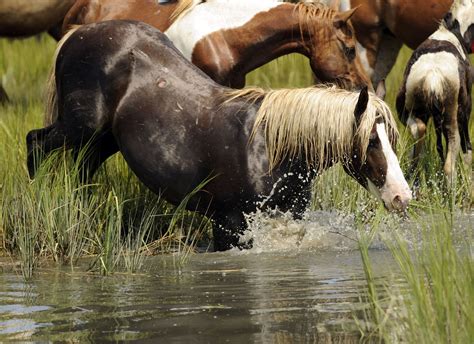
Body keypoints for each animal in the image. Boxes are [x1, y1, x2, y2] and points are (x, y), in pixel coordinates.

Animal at [25, 21, 412, 251]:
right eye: (372, 141)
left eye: (391, 139)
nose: (402, 196)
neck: (269, 149)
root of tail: (79, 33)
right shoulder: (229, 226)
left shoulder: (288, 221)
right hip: (78, 128)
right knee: (35, 144)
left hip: (102, 141)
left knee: (82, 170)